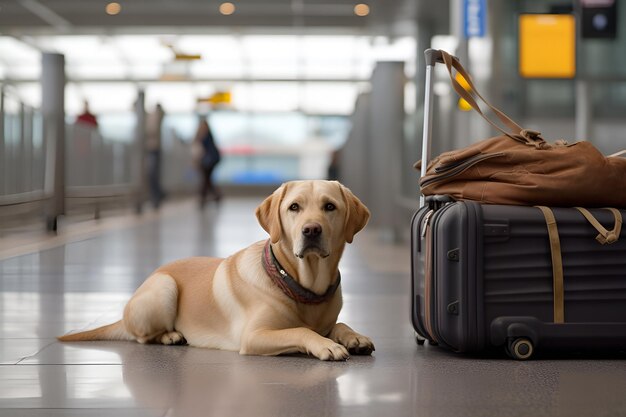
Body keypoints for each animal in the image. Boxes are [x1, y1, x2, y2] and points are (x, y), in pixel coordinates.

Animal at [58, 180, 372, 360]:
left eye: (329, 206)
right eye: (294, 207)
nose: (311, 230)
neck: (301, 285)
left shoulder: (327, 319)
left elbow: (338, 324)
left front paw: (354, 336)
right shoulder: (254, 336)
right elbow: (300, 330)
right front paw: (325, 344)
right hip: (164, 288)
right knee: (142, 336)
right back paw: (170, 336)